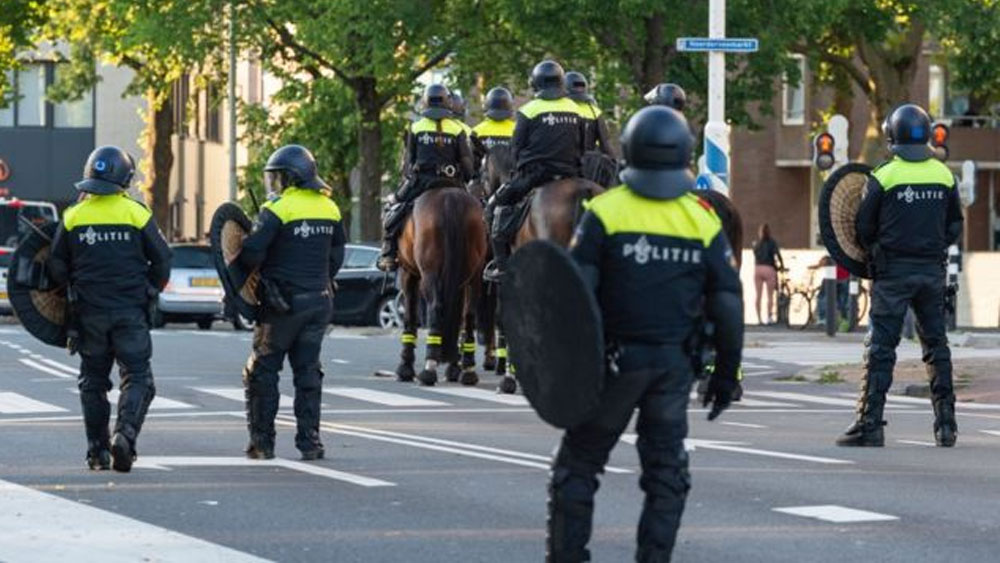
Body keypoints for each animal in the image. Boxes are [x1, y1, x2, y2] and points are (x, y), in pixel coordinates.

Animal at [394, 187, 488, 386]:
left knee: (435, 308)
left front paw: (405, 368)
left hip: (430, 274)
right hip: (473, 274)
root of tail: (450, 199)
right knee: (468, 315)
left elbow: (409, 315)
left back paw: (428, 369)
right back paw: (467, 371)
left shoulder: (408, 273)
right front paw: (454, 367)